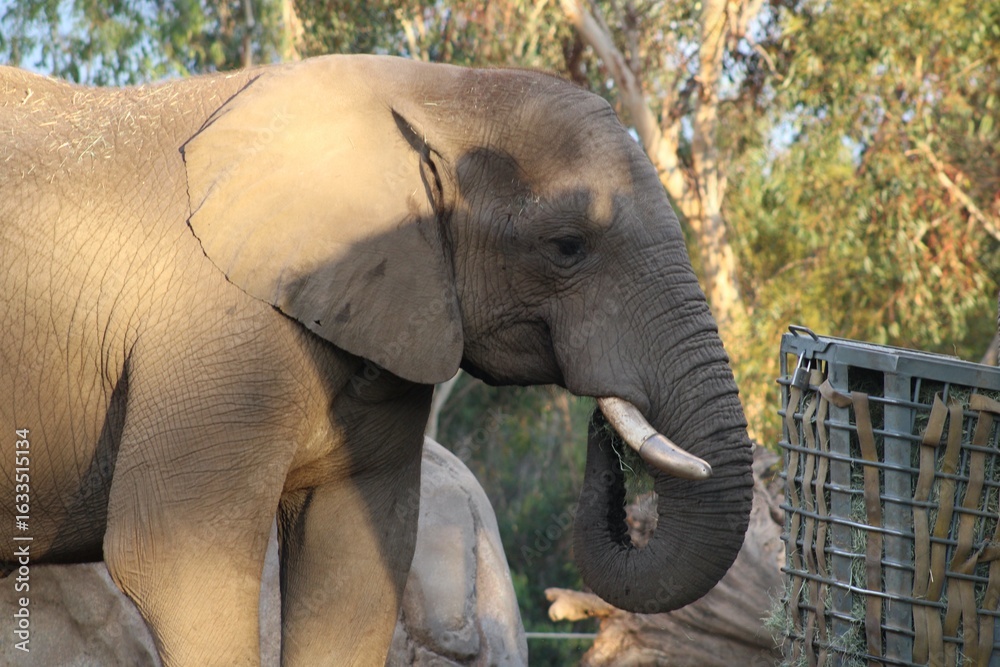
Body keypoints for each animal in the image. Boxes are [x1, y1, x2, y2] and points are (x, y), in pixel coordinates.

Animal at [0, 55, 754, 666]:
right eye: (567, 245)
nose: (602, 422)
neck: (431, 91)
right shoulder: (209, 336)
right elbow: (176, 565)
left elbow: (355, 569)